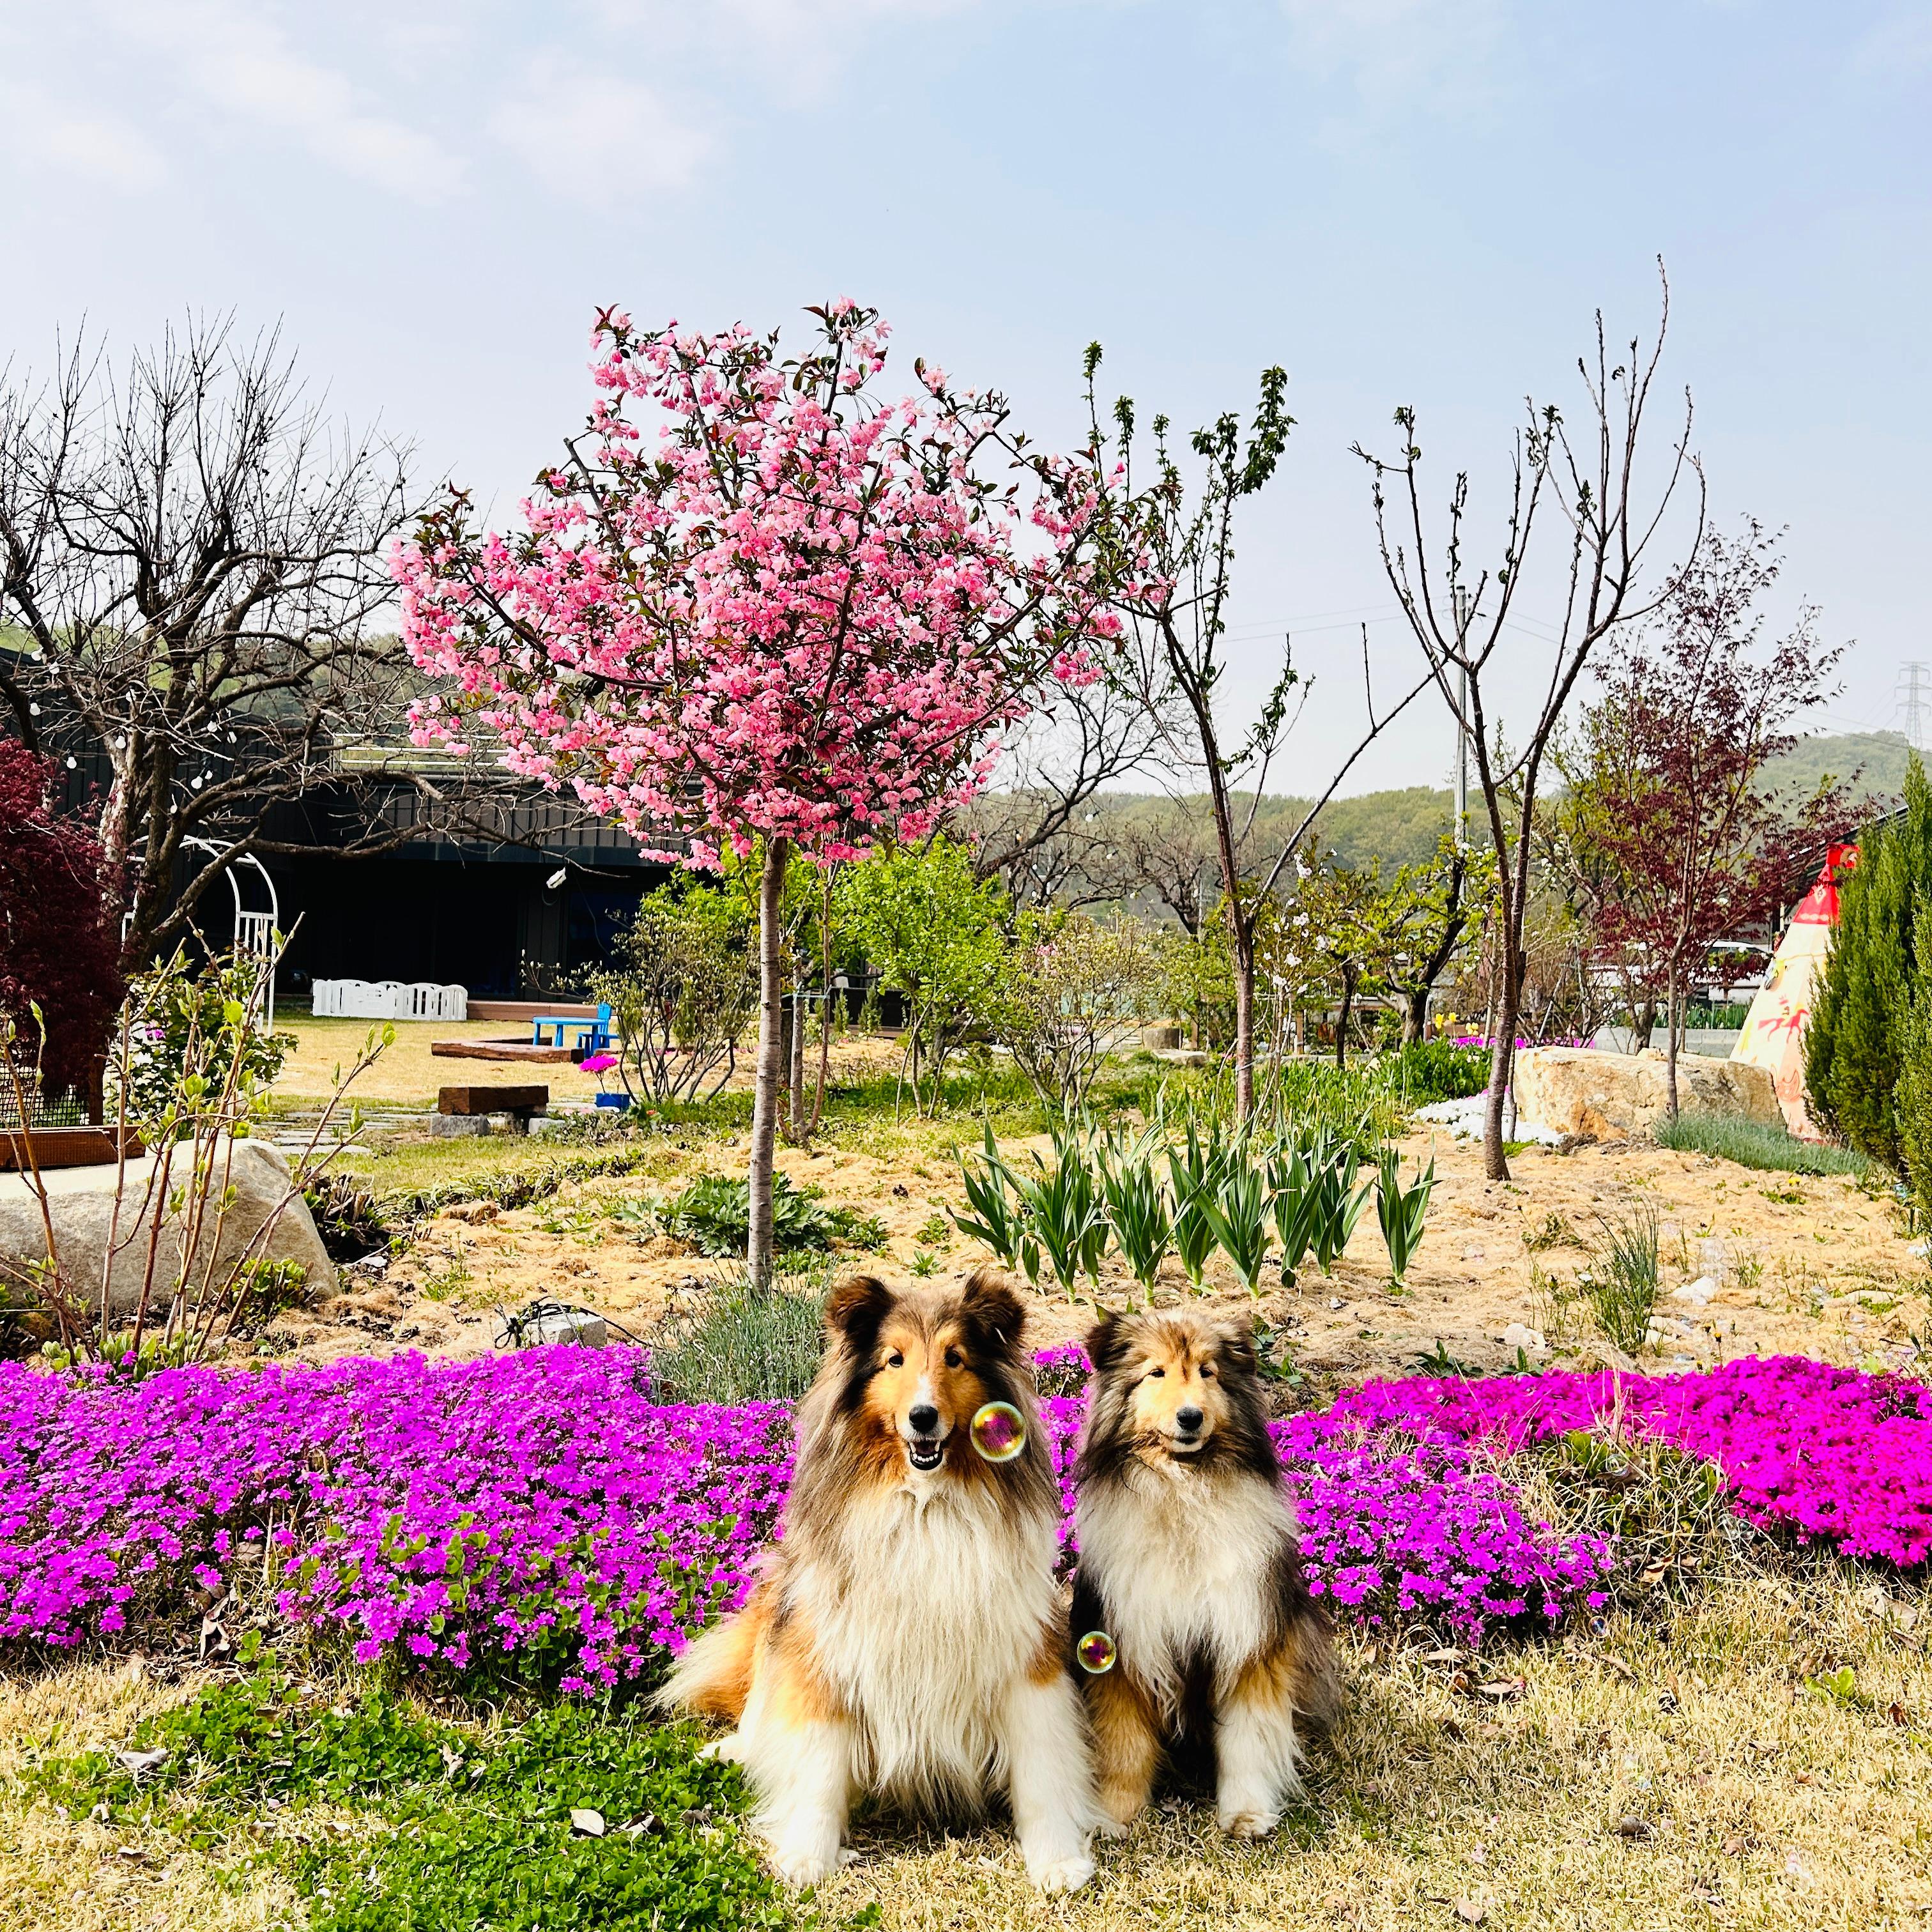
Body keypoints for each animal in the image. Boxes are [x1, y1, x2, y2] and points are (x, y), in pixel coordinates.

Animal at [657, 1267, 1097, 1885]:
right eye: (894, 1360)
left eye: (955, 1358)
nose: (922, 1417)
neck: (924, 1504)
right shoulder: (827, 1648)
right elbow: (818, 1764)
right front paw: (807, 1856)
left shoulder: (1023, 1652)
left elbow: (1043, 1767)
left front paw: (1057, 1859)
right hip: (779, 1608)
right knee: (760, 1707)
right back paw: (733, 1750)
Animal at [1066, 1314, 1337, 1839]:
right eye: (1156, 1373)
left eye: (1208, 1372)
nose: (1190, 1417)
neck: (1184, 1488)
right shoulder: (1124, 1645)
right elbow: (1124, 1743)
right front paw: (1114, 1815)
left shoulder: (1245, 1639)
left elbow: (1248, 1740)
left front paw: (1246, 1813)